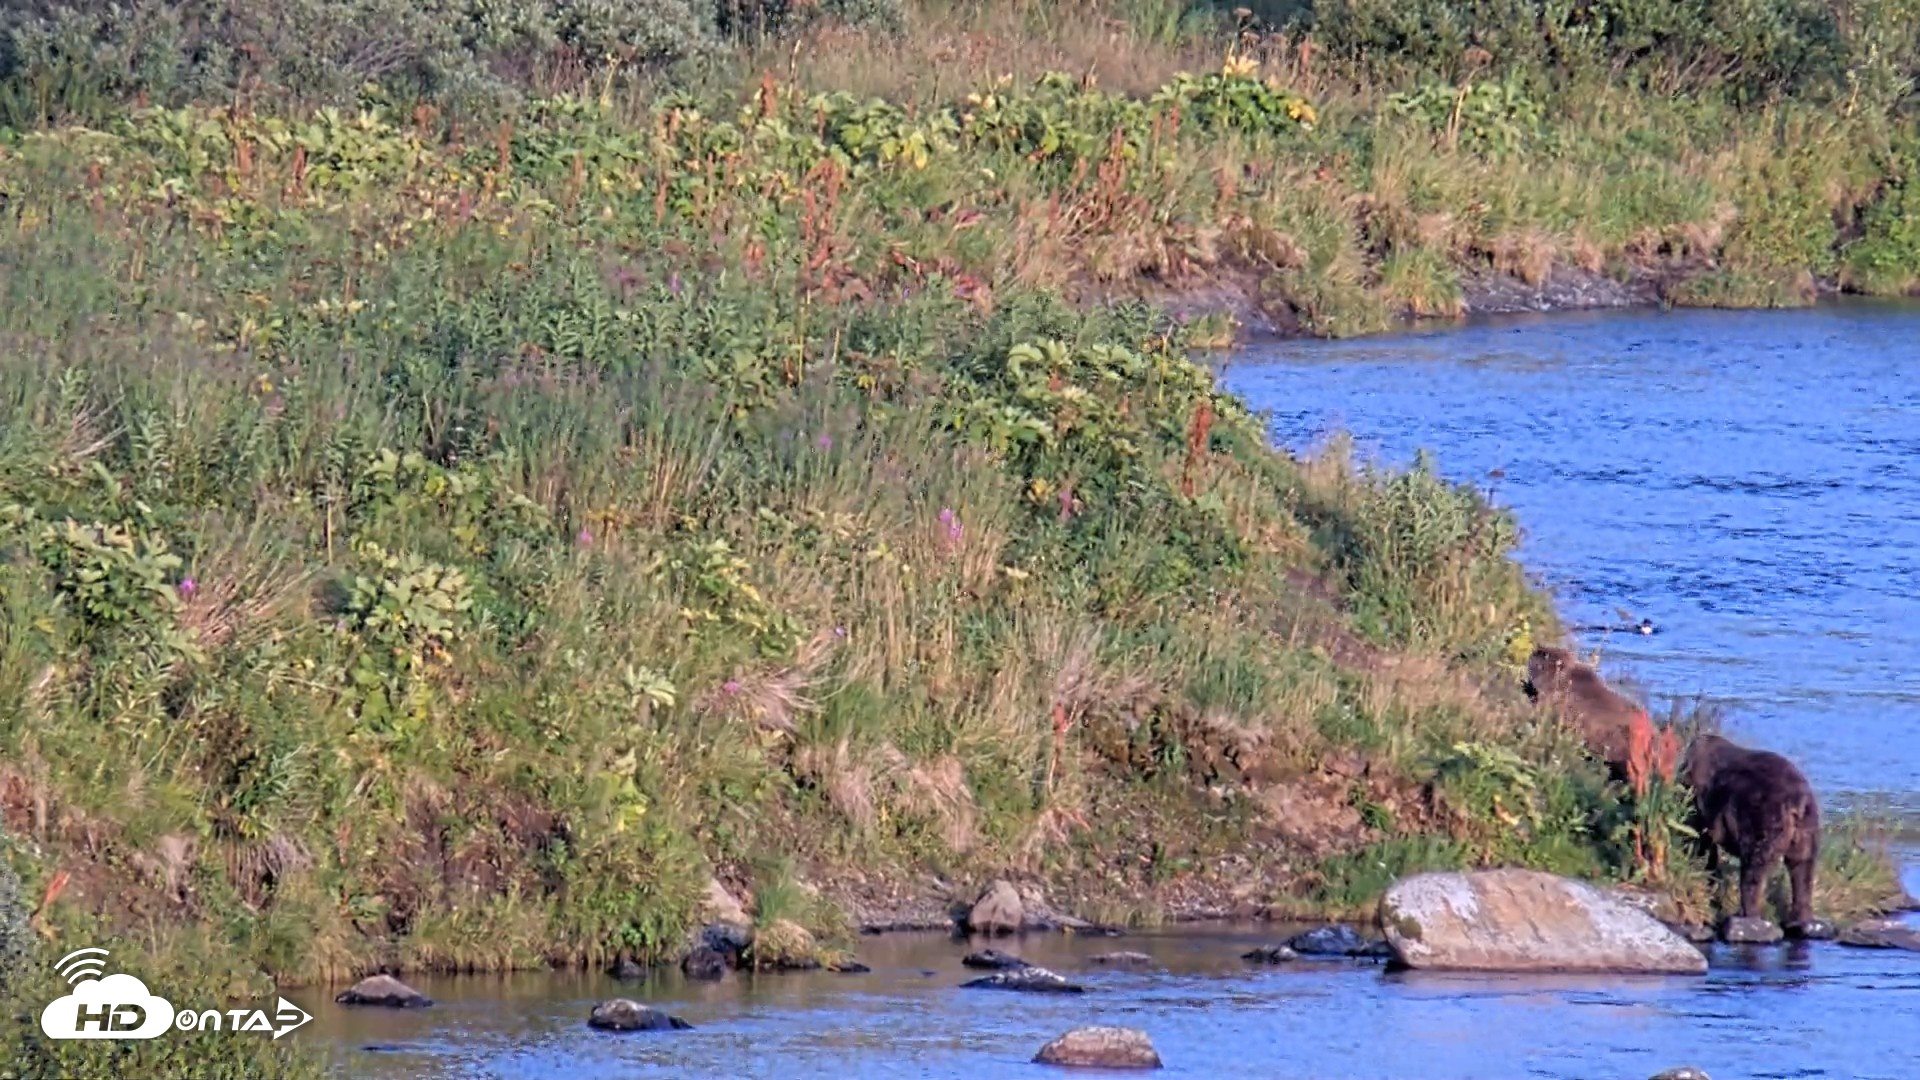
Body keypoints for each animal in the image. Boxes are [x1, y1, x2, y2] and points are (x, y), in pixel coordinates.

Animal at [1681, 731, 1821, 935]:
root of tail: (1798, 803)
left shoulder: (1700, 802)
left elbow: (1698, 838)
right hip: (1807, 829)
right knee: (1802, 869)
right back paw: (1800, 919)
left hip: (1763, 818)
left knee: (1754, 868)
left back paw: (1747, 915)